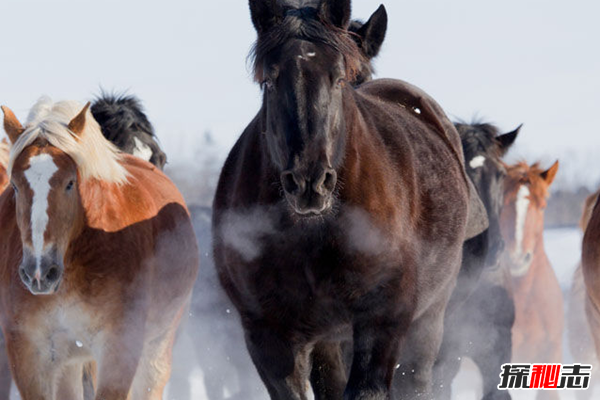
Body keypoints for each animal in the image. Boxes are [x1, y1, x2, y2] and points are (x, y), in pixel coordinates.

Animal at [0, 98, 199, 398]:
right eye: (14, 184)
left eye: (70, 182)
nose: (39, 272)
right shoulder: (28, 353)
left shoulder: (119, 350)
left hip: (156, 350)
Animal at [213, 0, 486, 400]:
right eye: (269, 80)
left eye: (339, 77)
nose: (309, 181)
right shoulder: (270, 337)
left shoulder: (381, 322)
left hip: (429, 318)